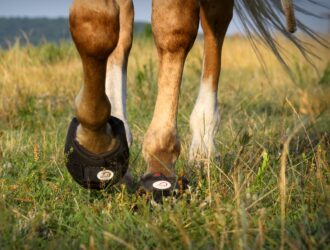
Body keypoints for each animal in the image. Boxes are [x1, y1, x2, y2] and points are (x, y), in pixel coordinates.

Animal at [62, 0, 318, 195]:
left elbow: (175, 29)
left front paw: (160, 155)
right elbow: (93, 22)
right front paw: (96, 143)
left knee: (216, 21)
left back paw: (204, 143)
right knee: (123, 31)